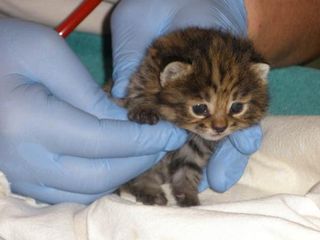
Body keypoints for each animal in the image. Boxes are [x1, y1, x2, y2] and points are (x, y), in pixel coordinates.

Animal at [114, 27, 268, 207]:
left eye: (236, 107)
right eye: (200, 108)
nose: (220, 128)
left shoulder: (195, 149)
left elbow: (188, 170)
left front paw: (188, 196)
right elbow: (142, 172)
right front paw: (150, 191)